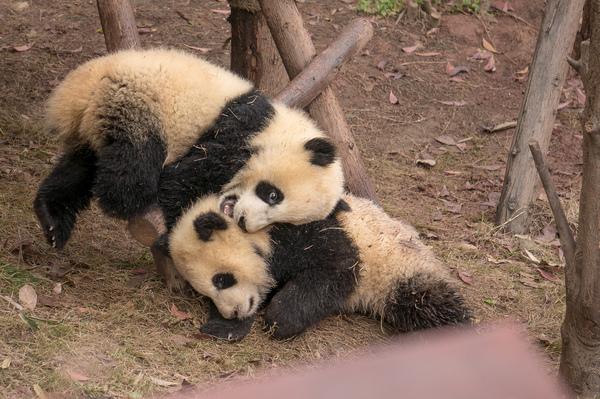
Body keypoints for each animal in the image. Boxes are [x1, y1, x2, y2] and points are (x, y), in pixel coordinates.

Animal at [34, 48, 342, 248]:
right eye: (273, 195)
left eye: (282, 223)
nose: (243, 221)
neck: (281, 129)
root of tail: (75, 92)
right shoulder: (240, 132)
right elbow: (182, 180)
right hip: (134, 103)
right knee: (135, 162)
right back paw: (133, 200)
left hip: (101, 120)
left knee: (80, 167)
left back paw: (52, 219)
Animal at [155, 194, 474, 340]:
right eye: (205, 292)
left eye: (222, 279)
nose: (233, 312)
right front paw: (223, 326)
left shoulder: (315, 234)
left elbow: (334, 273)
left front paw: (280, 320)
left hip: (401, 267)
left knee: (427, 300)